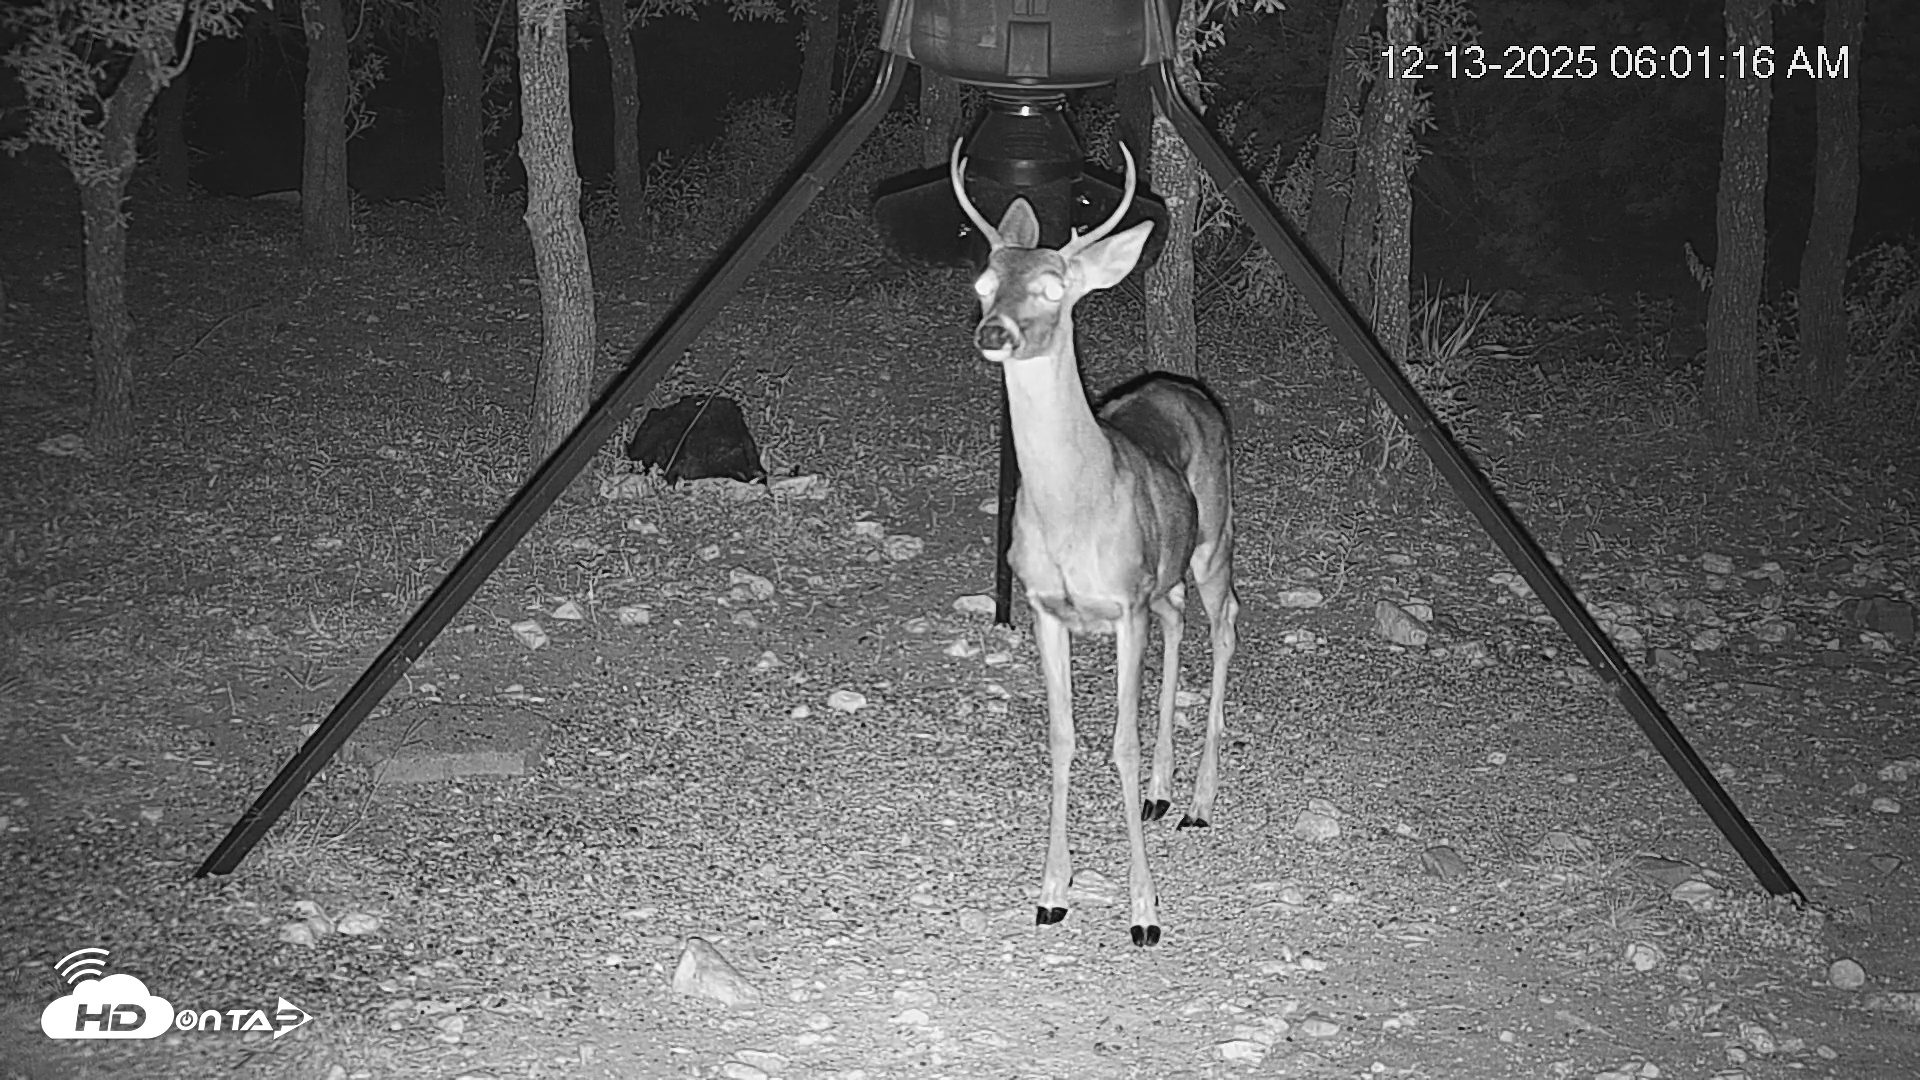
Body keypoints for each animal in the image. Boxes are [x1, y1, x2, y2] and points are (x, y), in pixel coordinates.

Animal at [951, 140, 1240, 947]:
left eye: (1056, 288)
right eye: (983, 281)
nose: (995, 333)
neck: (1071, 510)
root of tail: (1188, 390)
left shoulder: (1122, 607)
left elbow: (1121, 743)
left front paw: (1145, 913)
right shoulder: (1048, 608)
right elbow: (1063, 739)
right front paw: (1052, 892)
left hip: (1215, 539)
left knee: (1227, 622)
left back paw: (1198, 801)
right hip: (1165, 573)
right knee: (1181, 620)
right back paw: (1162, 794)